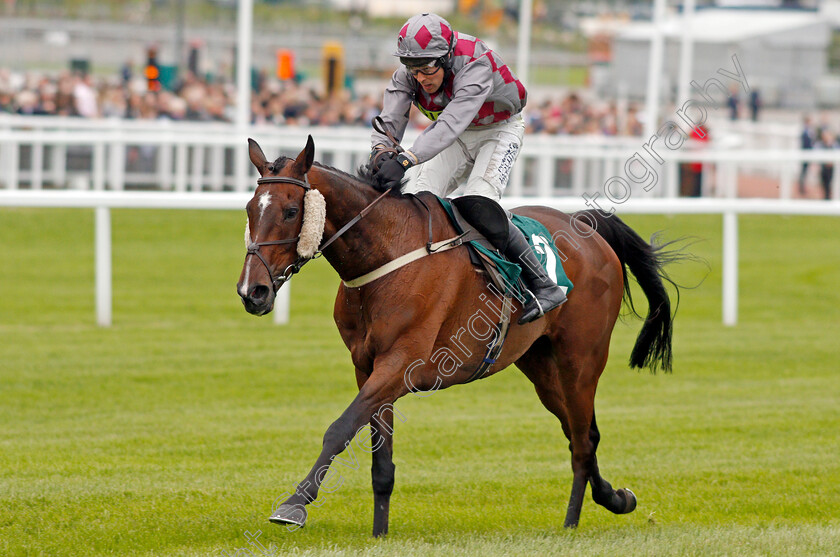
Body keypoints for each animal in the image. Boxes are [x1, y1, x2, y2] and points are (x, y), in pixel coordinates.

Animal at [235, 135, 676, 536]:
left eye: (291, 210)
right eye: (250, 210)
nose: (252, 291)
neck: (387, 256)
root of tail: (586, 224)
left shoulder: (401, 365)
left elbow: (340, 429)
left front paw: (294, 504)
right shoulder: (368, 367)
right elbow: (381, 460)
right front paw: (379, 533)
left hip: (580, 361)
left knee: (583, 441)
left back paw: (571, 523)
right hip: (541, 367)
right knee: (579, 433)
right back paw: (615, 498)